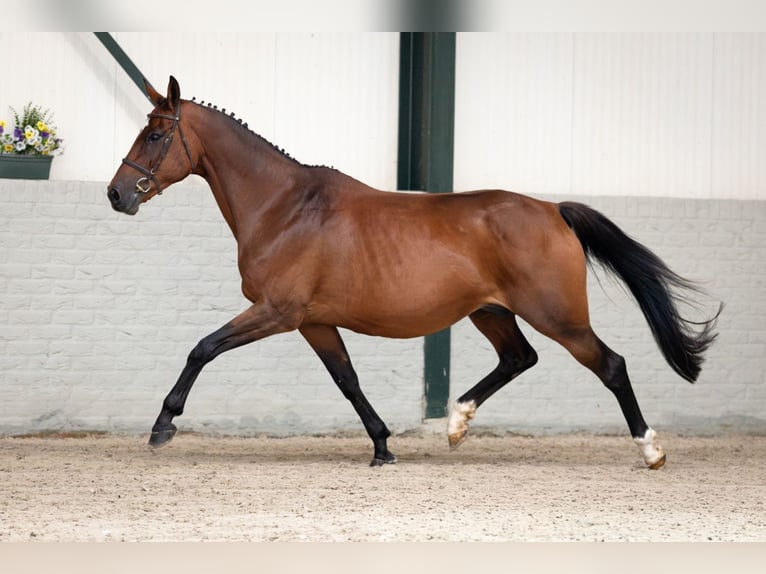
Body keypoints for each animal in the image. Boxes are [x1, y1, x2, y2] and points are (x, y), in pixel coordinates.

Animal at [107, 76, 719, 468]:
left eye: (155, 135)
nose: (117, 194)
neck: (286, 206)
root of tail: (553, 210)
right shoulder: (313, 322)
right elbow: (348, 380)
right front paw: (382, 447)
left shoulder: (276, 312)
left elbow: (202, 349)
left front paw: (163, 425)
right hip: (491, 312)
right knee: (519, 358)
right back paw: (456, 425)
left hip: (558, 317)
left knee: (610, 365)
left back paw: (651, 450)